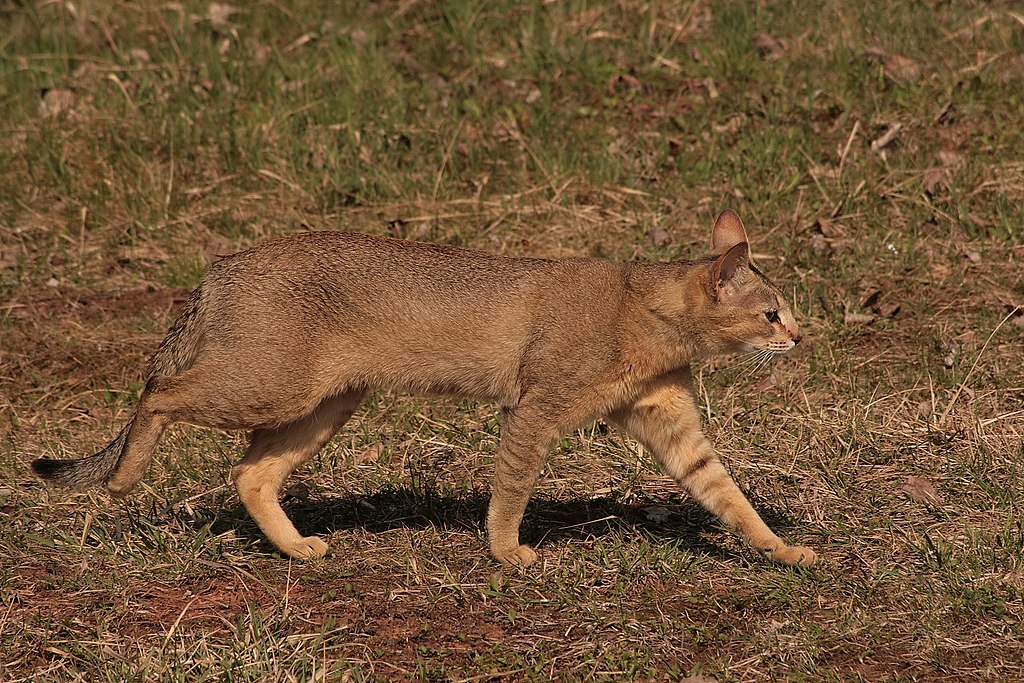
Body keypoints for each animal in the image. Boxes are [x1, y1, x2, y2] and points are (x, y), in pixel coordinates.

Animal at [29, 210, 815, 569]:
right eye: (772, 313)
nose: (802, 335)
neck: (644, 310)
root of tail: (222, 268)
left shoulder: (670, 424)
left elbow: (729, 496)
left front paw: (784, 552)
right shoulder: (535, 409)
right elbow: (511, 490)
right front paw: (506, 554)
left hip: (322, 404)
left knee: (249, 471)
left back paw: (298, 549)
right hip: (267, 387)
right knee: (157, 389)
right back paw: (122, 478)